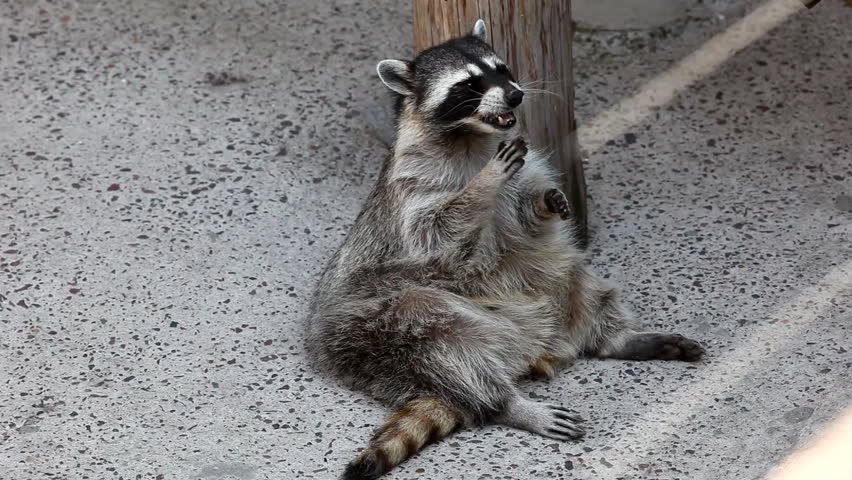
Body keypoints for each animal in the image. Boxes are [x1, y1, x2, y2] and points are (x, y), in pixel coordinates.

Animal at [305, 20, 705, 480]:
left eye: (501, 69)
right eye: (469, 84)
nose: (515, 94)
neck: (473, 135)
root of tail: (538, 349)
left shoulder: (528, 168)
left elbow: (530, 212)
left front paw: (548, 201)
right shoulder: (411, 186)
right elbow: (437, 233)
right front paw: (486, 182)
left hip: (551, 279)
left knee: (577, 277)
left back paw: (617, 339)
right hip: (372, 337)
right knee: (436, 337)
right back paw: (509, 403)